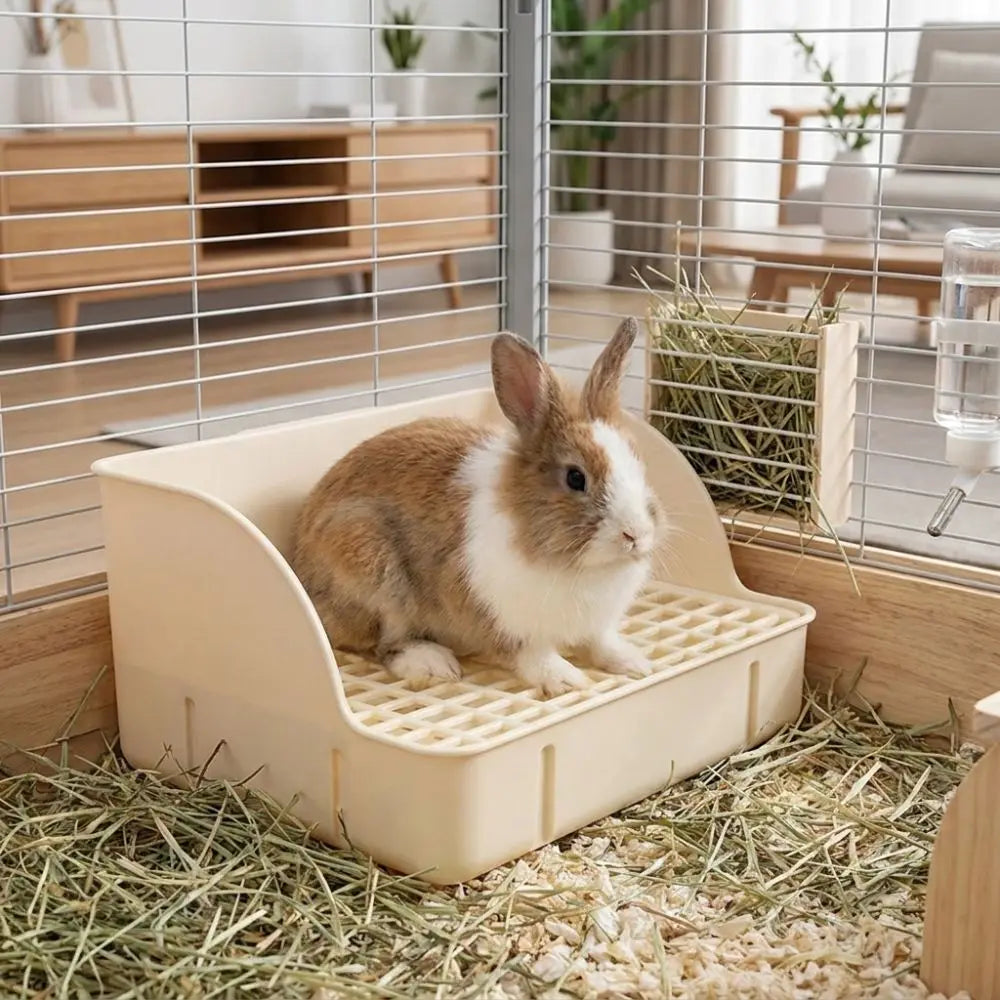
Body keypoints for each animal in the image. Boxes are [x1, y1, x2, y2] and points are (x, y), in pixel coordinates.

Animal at [290, 316, 664, 697]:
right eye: (576, 478)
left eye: (638, 462)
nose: (636, 535)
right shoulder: (502, 621)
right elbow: (533, 654)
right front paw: (566, 680)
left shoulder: (596, 625)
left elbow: (601, 641)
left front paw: (634, 664)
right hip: (371, 568)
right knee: (386, 644)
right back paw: (433, 663)